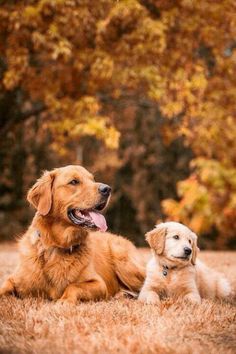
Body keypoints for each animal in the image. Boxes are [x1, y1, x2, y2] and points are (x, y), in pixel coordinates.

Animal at [0, 165, 144, 302]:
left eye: (92, 179)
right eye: (74, 182)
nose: (107, 189)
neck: (56, 247)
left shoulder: (99, 284)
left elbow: (73, 286)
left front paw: (64, 301)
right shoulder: (14, 279)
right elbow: (4, 286)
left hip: (125, 264)